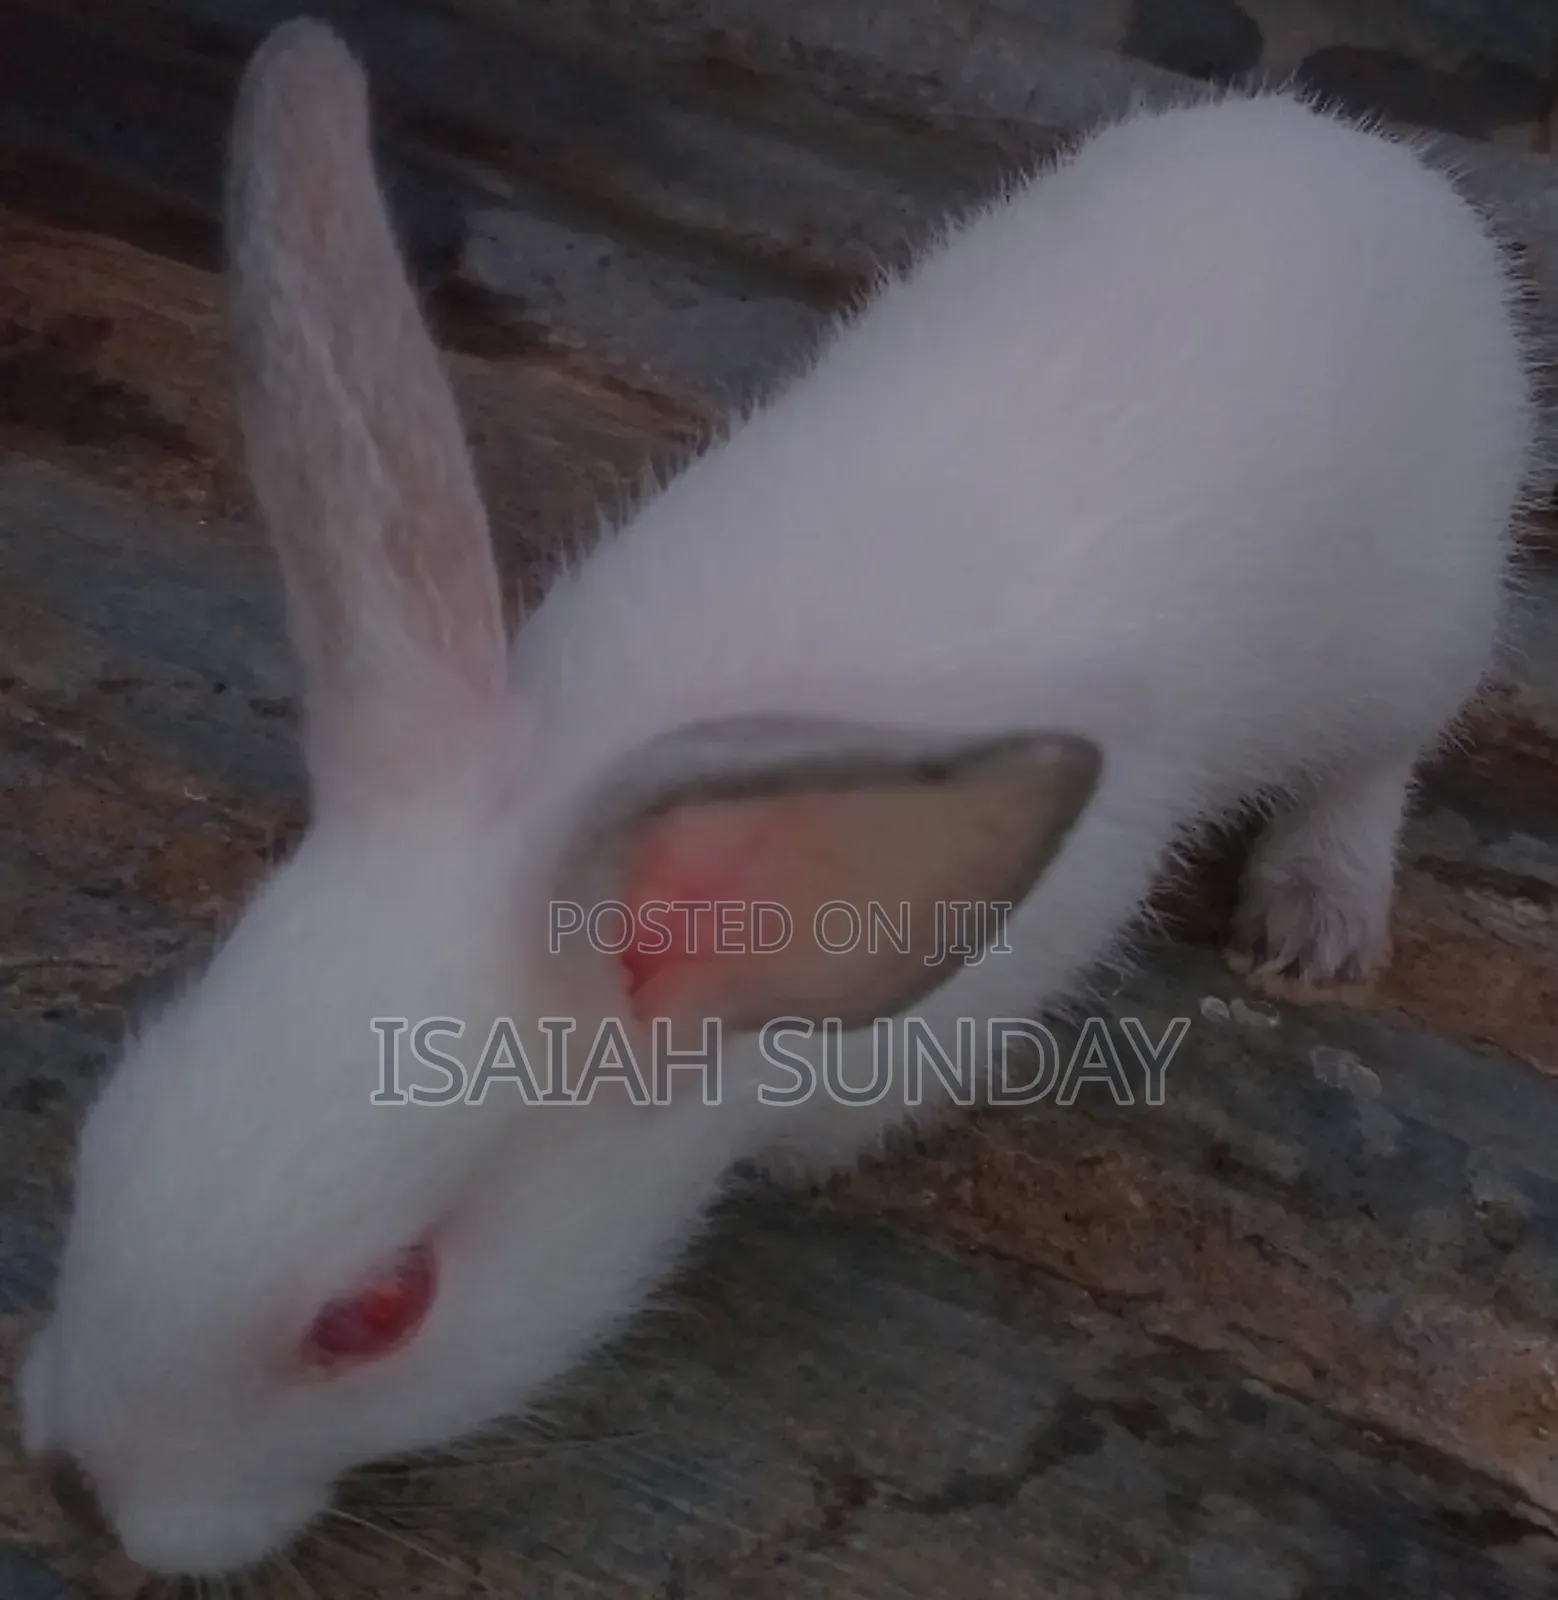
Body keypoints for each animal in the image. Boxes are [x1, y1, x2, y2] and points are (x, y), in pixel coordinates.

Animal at [17, 16, 1537, 1580]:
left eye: (376, 1312)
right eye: (109, 1122)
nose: (80, 1485)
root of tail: (1359, 159)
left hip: (1416, 628)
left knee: (1371, 769)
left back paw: (1315, 920)